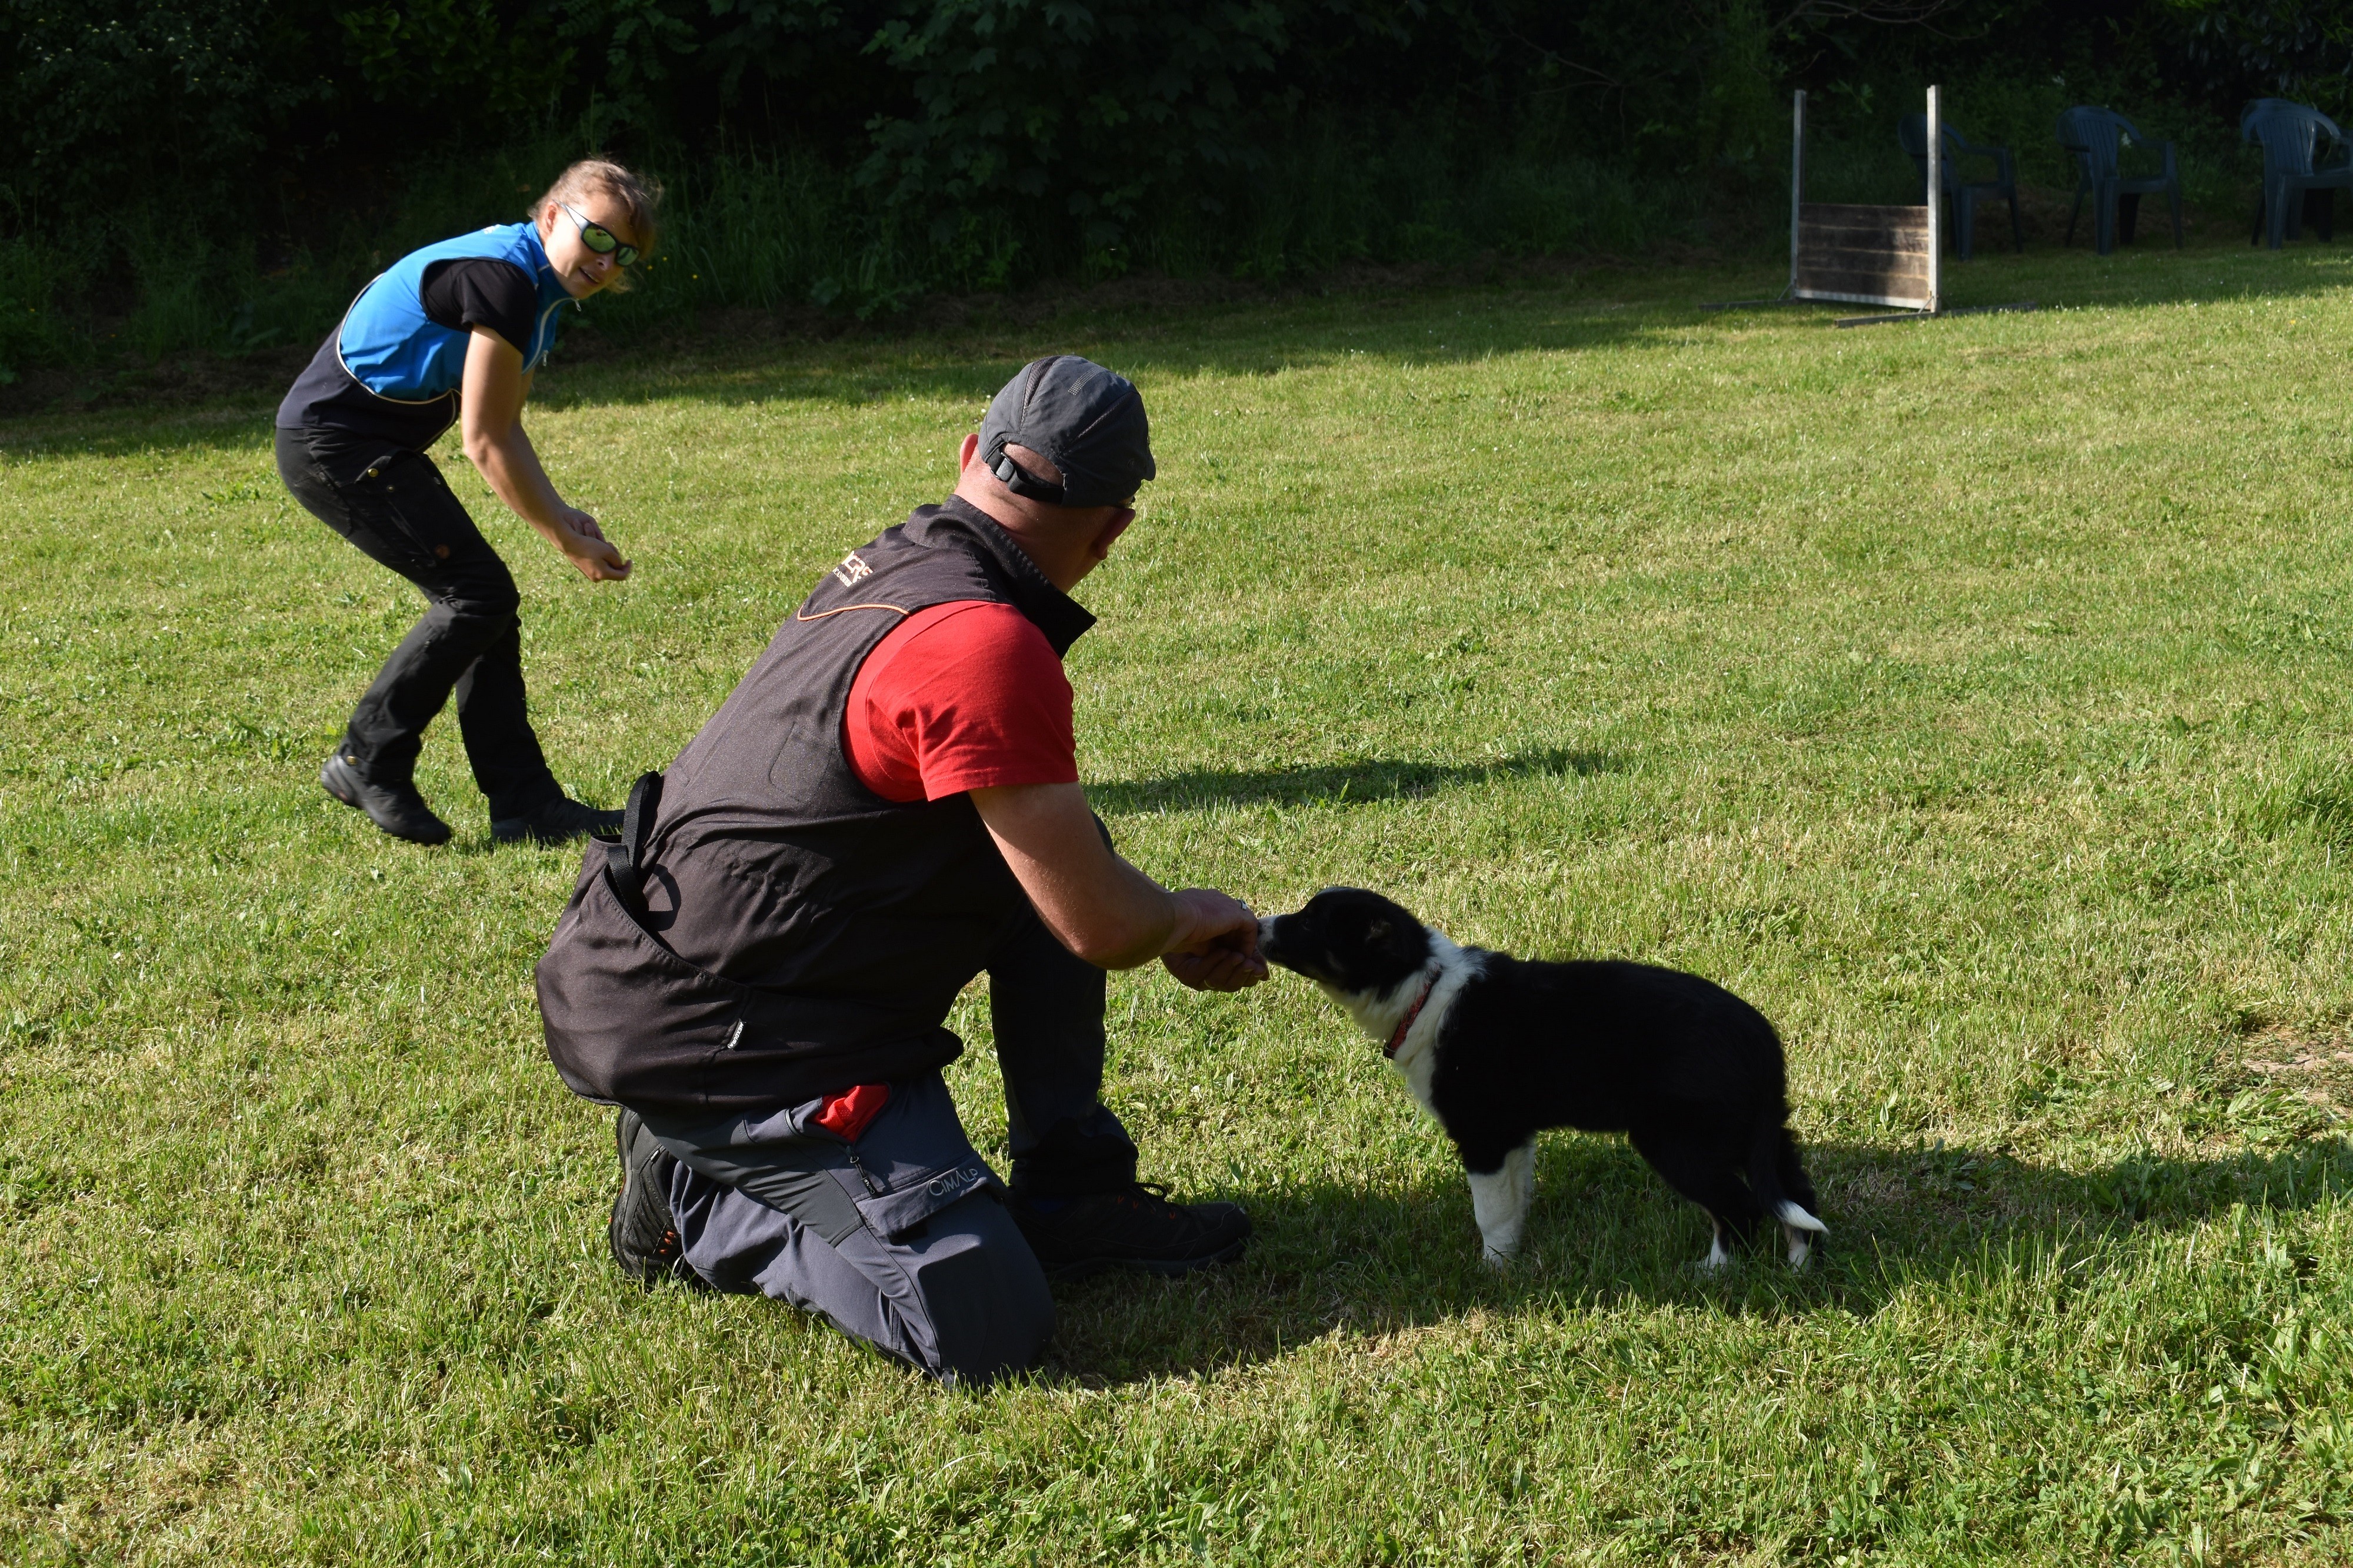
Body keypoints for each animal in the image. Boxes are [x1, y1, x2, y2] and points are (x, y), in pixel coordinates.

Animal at [1261, 885, 1826, 1262]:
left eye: (1310, 923)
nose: (1260, 924)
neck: (1422, 987)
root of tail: (1761, 1042)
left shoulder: (1483, 1133)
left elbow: (1489, 1211)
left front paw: (1493, 1272)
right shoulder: (1514, 1134)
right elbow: (1515, 1201)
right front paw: (1513, 1257)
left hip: (1678, 1141)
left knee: (1739, 1206)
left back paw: (1714, 1271)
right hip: (1759, 1131)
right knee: (1794, 1192)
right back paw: (1799, 1264)